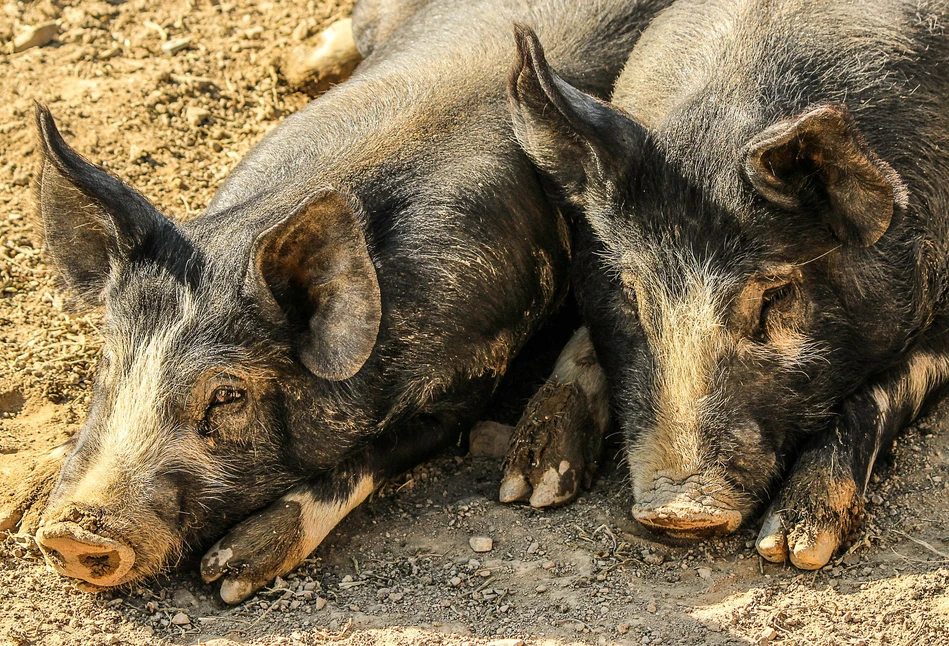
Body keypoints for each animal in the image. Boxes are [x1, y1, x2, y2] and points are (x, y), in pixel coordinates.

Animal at [0, 0, 672, 604]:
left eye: (228, 396)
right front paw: (28, 506)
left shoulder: (471, 374)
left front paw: (230, 573)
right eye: (107, 365)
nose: (72, 534)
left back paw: (535, 484)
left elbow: (364, 462)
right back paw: (296, 63)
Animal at [508, 0, 948, 568]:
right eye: (630, 293)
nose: (680, 511)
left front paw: (794, 547)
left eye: (773, 296)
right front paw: (528, 486)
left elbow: (879, 391)